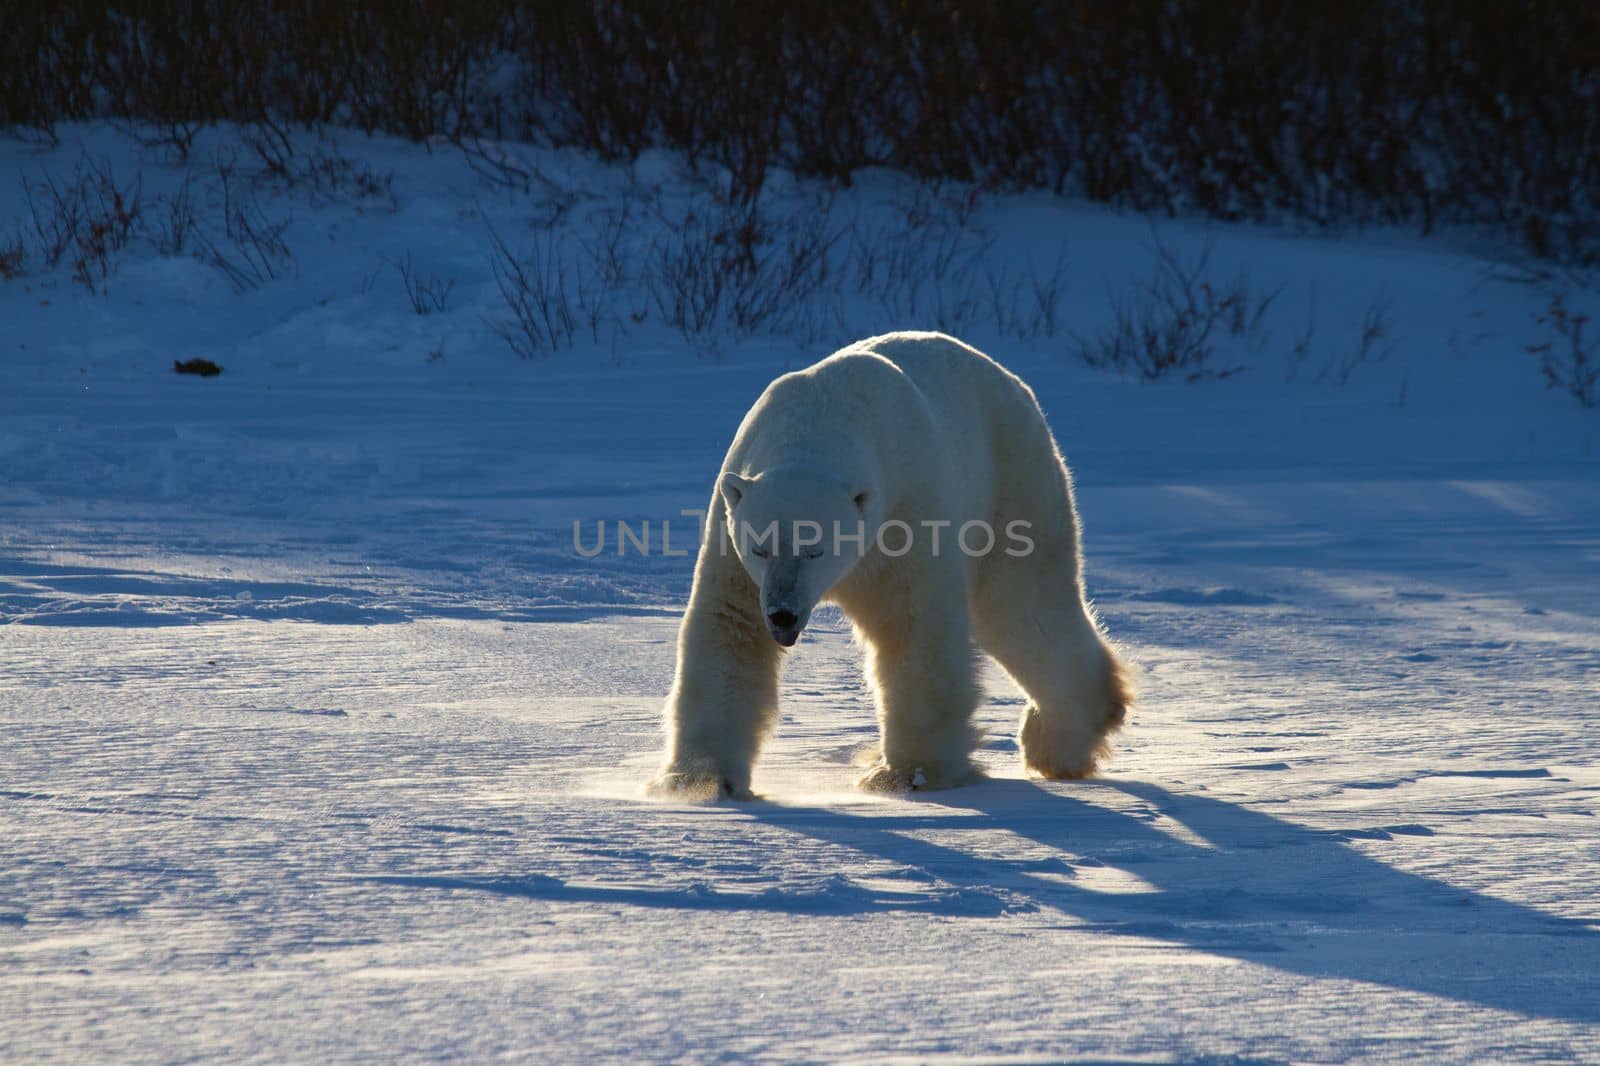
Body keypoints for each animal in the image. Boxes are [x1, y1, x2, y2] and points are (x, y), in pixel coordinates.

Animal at [643, 332, 1132, 797]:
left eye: (816, 548)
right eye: (760, 547)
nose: (782, 614)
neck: (819, 417)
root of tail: (1015, 385)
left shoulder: (904, 513)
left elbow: (912, 627)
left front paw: (907, 774)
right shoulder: (733, 545)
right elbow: (730, 628)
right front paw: (696, 780)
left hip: (1010, 481)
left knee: (1020, 606)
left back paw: (1059, 741)